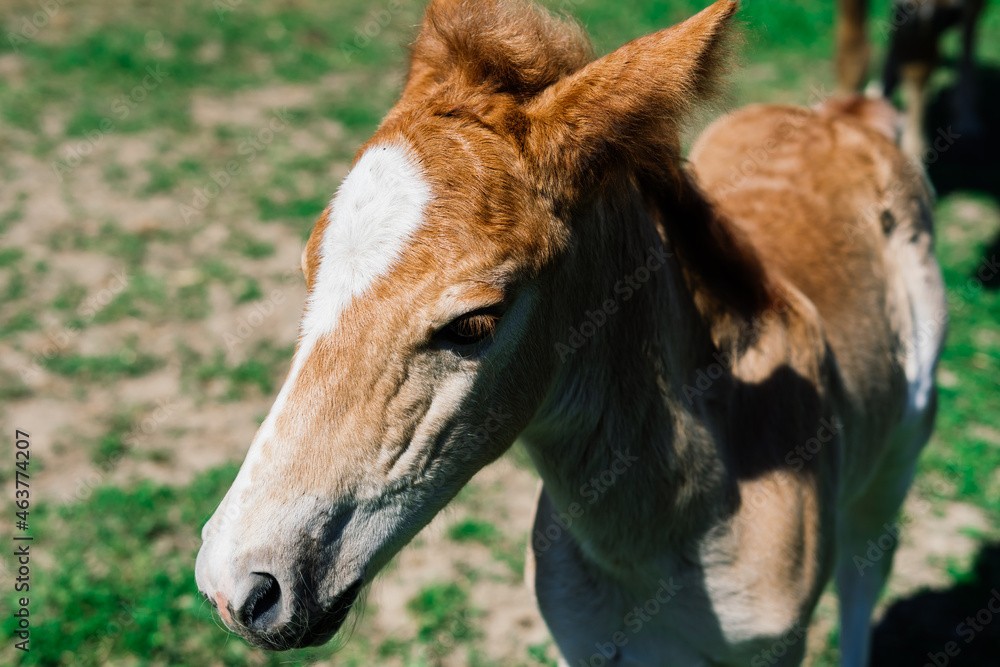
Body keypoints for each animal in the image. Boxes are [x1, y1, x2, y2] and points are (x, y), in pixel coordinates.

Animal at [196, 1, 947, 664]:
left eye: (474, 323)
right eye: (309, 273)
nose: (239, 587)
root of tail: (842, 116)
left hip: (899, 456)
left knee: (866, 570)